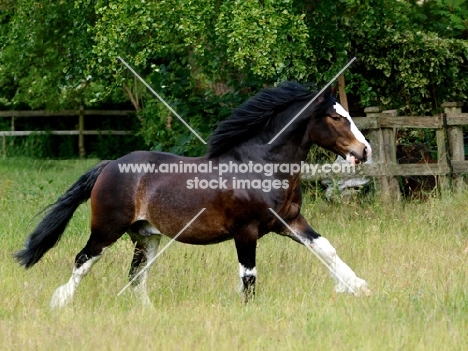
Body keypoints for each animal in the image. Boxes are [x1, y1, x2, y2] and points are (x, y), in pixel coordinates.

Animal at [14, 82, 372, 308]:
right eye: (336, 117)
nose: (364, 151)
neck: (260, 165)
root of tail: (108, 166)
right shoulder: (245, 231)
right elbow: (248, 275)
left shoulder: (290, 221)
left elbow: (326, 250)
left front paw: (359, 287)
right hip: (107, 229)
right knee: (83, 260)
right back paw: (60, 302)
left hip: (146, 236)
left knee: (135, 276)